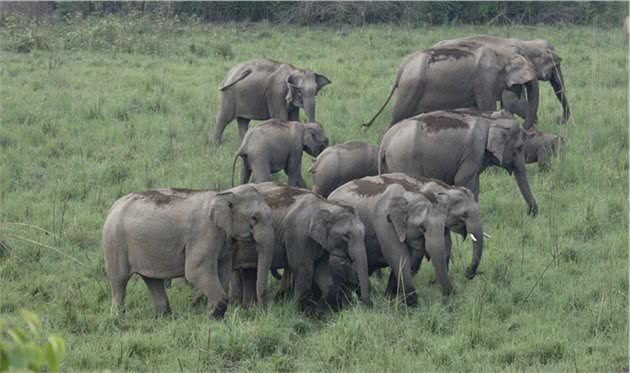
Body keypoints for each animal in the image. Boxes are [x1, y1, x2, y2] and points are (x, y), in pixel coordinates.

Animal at [378, 109, 540, 215]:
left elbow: (474, 183)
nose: (532, 213)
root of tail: (385, 141)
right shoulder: (473, 151)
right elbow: (463, 180)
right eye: (519, 147)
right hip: (404, 160)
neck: (489, 120)